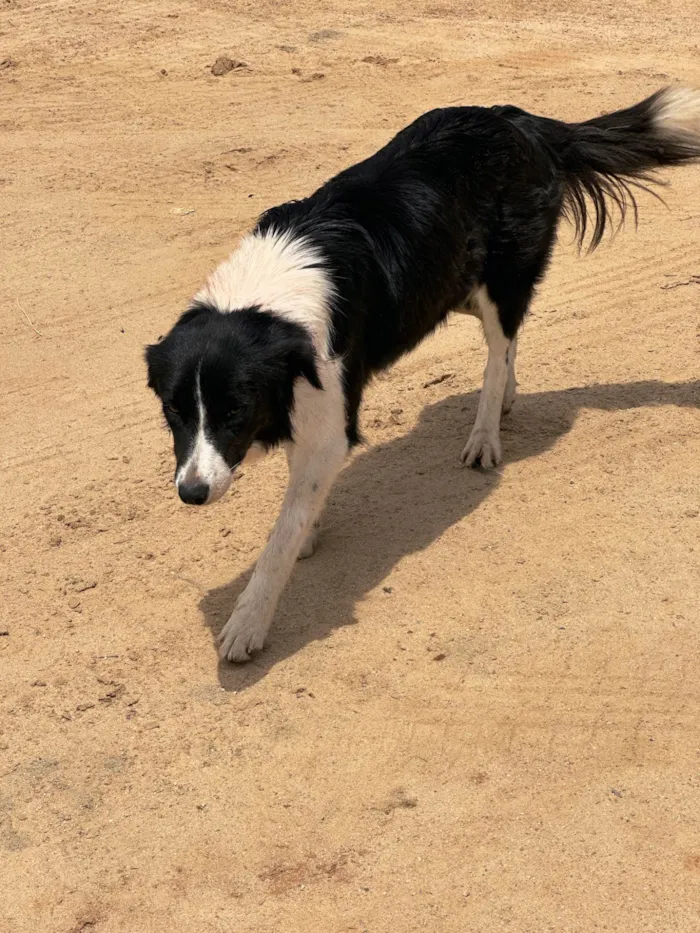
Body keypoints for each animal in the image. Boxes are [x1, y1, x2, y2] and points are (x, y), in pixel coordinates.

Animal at [144, 85, 700, 656]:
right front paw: (309, 532)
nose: (191, 494)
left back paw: (485, 434)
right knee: (506, 342)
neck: (265, 301)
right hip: (454, 286)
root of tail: (518, 119)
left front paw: (248, 622)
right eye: (174, 411)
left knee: (498, 349)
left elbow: (282, 534)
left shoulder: (330, 419)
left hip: (499, 278)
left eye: (235, 410)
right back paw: (506, 399)